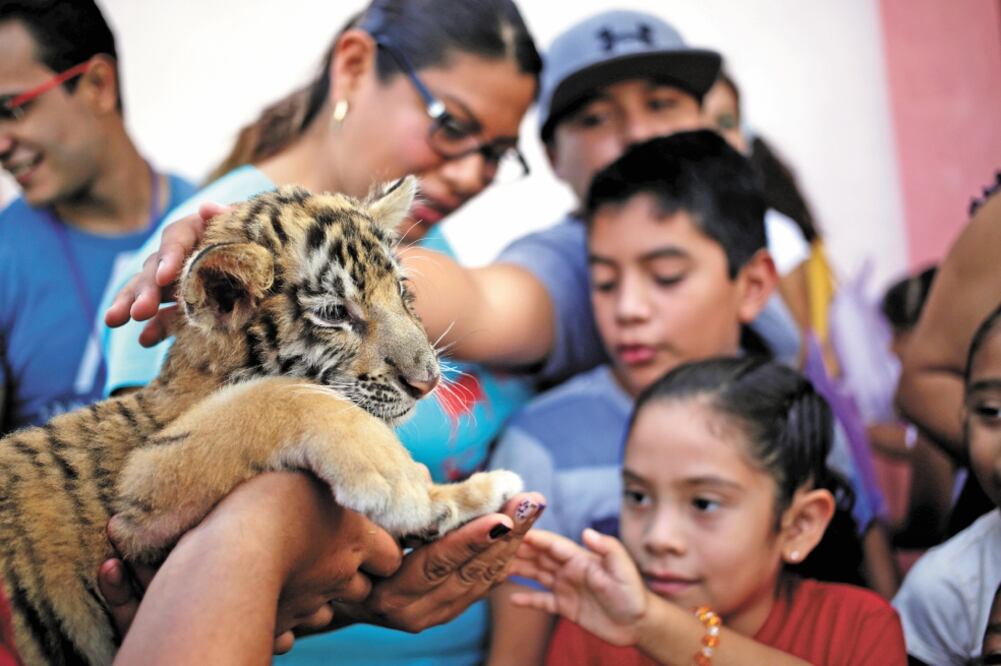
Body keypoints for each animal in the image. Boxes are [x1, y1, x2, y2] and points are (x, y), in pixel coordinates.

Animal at [0, 176, 522, 666]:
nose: (428, 381)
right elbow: (275, 395)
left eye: (402, 291)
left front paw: (463, 495)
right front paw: (400, 484)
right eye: (335, 312)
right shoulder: (142, 494)